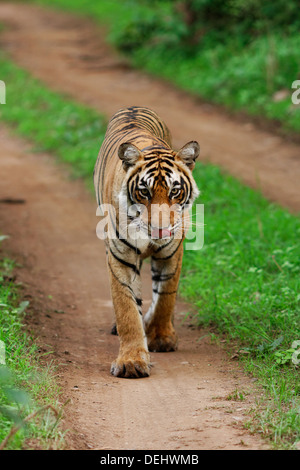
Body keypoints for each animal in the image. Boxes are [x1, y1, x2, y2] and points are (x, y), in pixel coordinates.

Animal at [92, 106, 198, 378]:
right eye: (144, 192)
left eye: (174, 191)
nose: (160, 228)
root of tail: (134, 107)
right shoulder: (120, 257)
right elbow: (127, 308)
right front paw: (131, 361)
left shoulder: (172, 253)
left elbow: (165, 297)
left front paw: (161, 337)